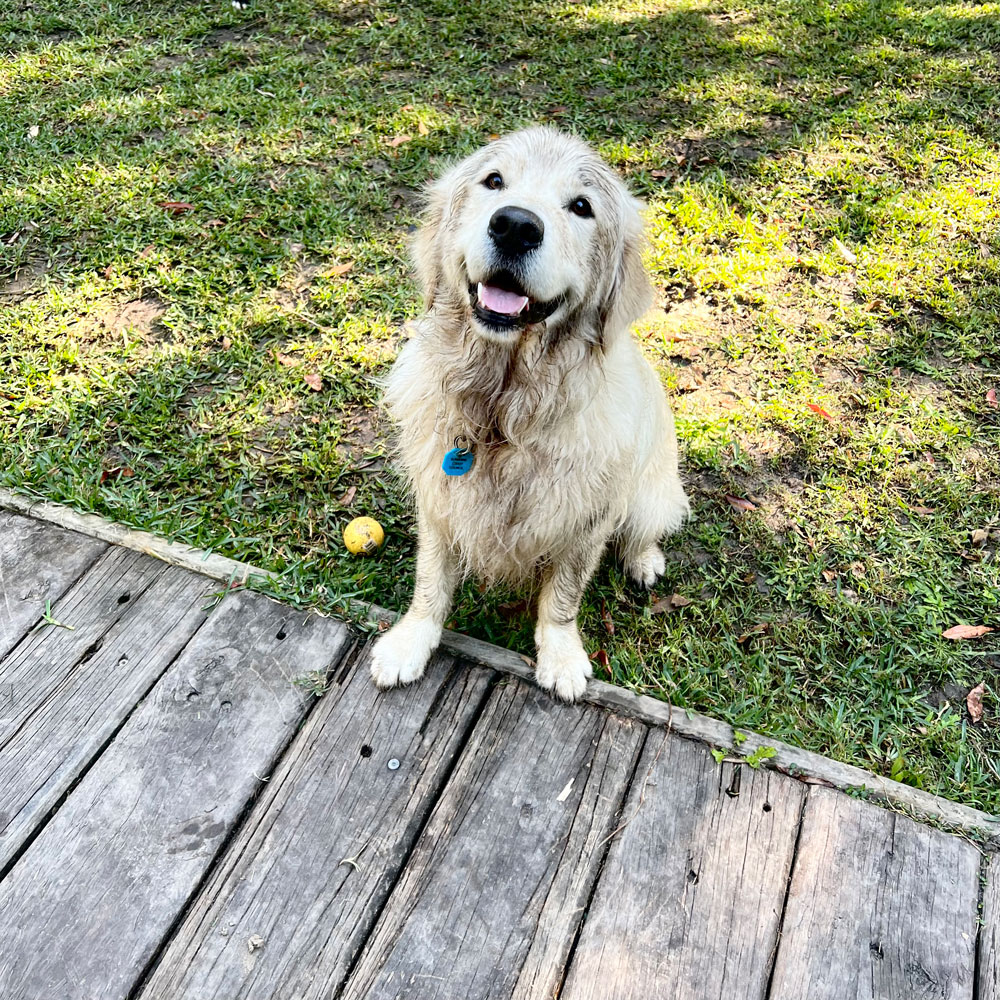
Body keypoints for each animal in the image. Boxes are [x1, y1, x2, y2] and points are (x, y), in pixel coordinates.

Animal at [368, 125, 688, 700]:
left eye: (581, 206)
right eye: (494, 181)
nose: (515, 225)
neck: (503, 407)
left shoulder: (589, 517)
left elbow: (561, 597)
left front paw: (560, 656)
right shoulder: (439, 498)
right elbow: (431, 581)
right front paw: (410, 640)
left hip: (653, 492)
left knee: (644, 528)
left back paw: (644, 559)